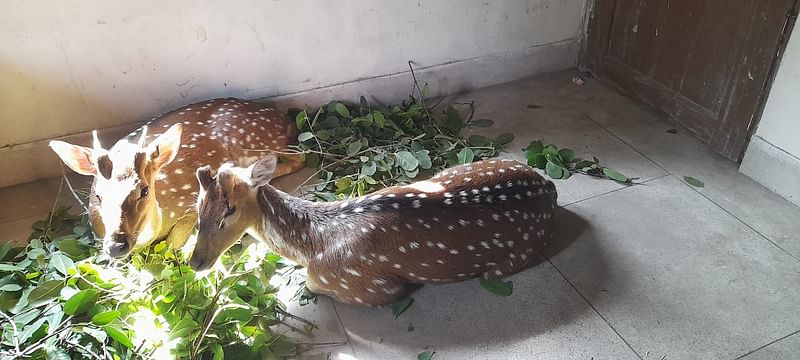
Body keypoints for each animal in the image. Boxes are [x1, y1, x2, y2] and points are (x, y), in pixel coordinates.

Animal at [48, 97, 304, 258]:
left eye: (144, 190)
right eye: (99, 196)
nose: (116, 246)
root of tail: (284, 119)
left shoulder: (189, 203)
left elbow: (171, 245)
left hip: (254, 141)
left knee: (299, 157)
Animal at [191, 156, 560, 306]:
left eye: (229, 211)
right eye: (197, 207)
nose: (196, 262)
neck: (311, 244)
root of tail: (548, 186)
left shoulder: (370, 288)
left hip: (506, 262)